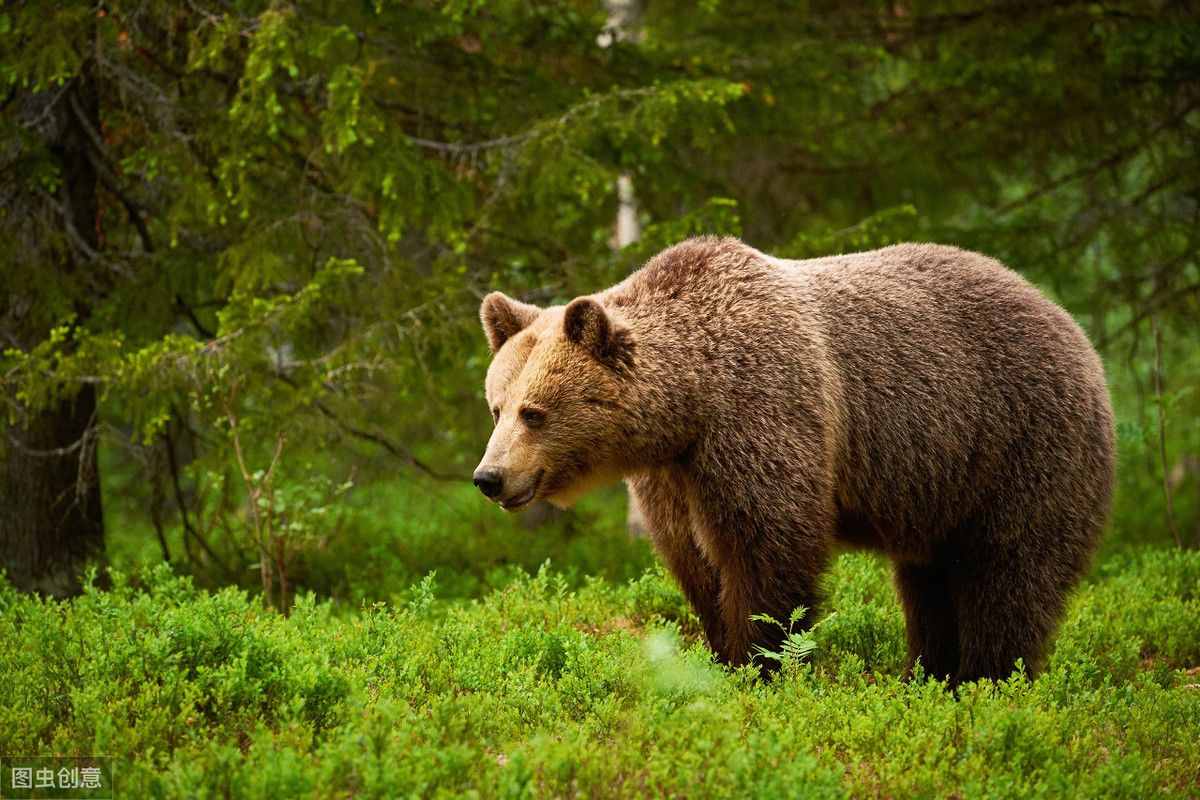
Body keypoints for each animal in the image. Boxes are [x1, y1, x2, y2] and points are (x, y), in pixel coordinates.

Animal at [470, 235, 1113, 686]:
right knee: (930, 580)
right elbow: (695, 562)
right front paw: (722, 656)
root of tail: (1069, 323)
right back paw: (928, 675)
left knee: (1009, 571)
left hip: (1019, 444)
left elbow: (769, 545)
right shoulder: (673, 475)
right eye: (496, 406)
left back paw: (986, 679)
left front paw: (762, 664)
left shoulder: (763, 411)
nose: (489, 477)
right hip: (942, 486)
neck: (691, 403)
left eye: (534, 412)